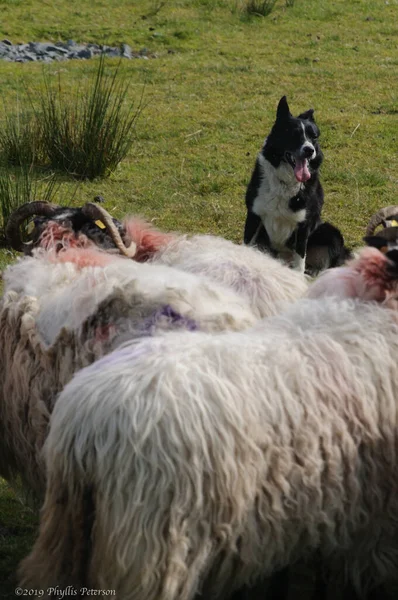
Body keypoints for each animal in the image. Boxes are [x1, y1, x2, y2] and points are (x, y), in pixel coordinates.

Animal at [243, 95, 348, 272]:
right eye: (294, 134)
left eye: (314, 137)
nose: (310, 150)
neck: (285, 182)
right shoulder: (253, 216)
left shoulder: (304, 226)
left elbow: (300, 260)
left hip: (331, 233)